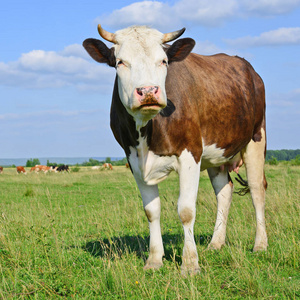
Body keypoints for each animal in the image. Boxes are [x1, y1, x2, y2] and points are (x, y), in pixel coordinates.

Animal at [83, 25, 268, 274]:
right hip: (216, 154)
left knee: (257, 189)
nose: (148, 91)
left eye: (163, 61)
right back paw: (215, 243)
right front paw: (154, 259)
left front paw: (190, 264)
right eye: (120, 62)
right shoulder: (133, 160)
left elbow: (186, 211)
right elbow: (151, 211)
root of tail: (248, 68)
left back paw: (260, 244)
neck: (147, 131)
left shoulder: (190, 154)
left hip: (256, 137)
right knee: (224, 191)